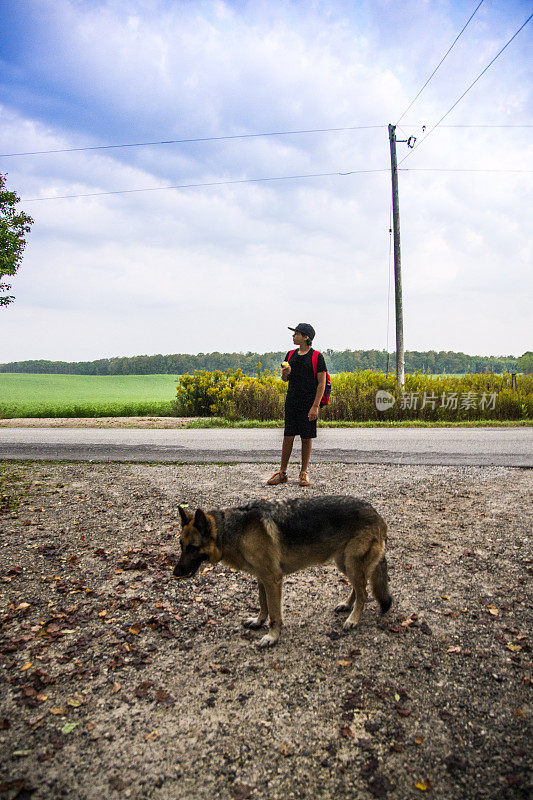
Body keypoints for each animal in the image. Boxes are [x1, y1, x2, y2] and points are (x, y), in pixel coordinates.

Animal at [175, 496, 390, 648]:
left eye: (193, 548)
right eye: (181, 545)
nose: (175, 573)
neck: (233, 529)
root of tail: (376, 514)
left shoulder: (272, 580)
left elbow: (274, 614)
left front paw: (272, 637)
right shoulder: (262, 578)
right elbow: (263, 605)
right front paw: (258, 621)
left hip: (352, 564)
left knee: (364, 593)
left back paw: (353, 619)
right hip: (345, 564)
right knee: (357, 588)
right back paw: (347, 605)